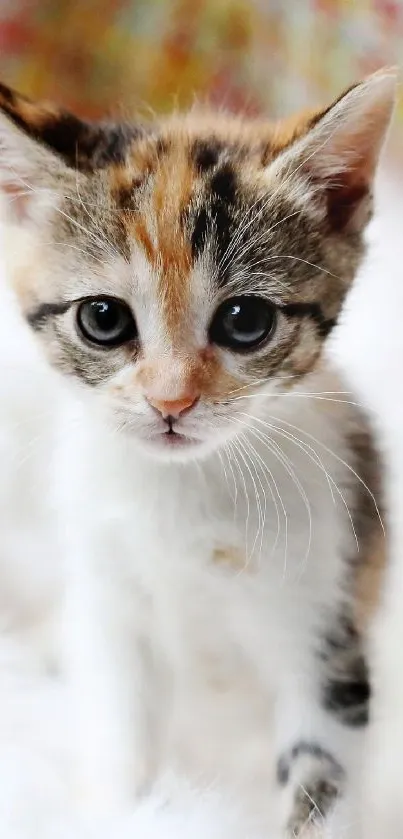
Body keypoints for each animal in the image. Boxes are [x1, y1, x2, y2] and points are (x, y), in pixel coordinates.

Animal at [0, 70, 398, 832]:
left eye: (245, 321)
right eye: (102, 319)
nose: (171, 401)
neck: (186, 492)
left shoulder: (322, 616)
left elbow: (320, 771)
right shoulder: (110, 605)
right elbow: (119, 735)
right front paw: (128, 812)